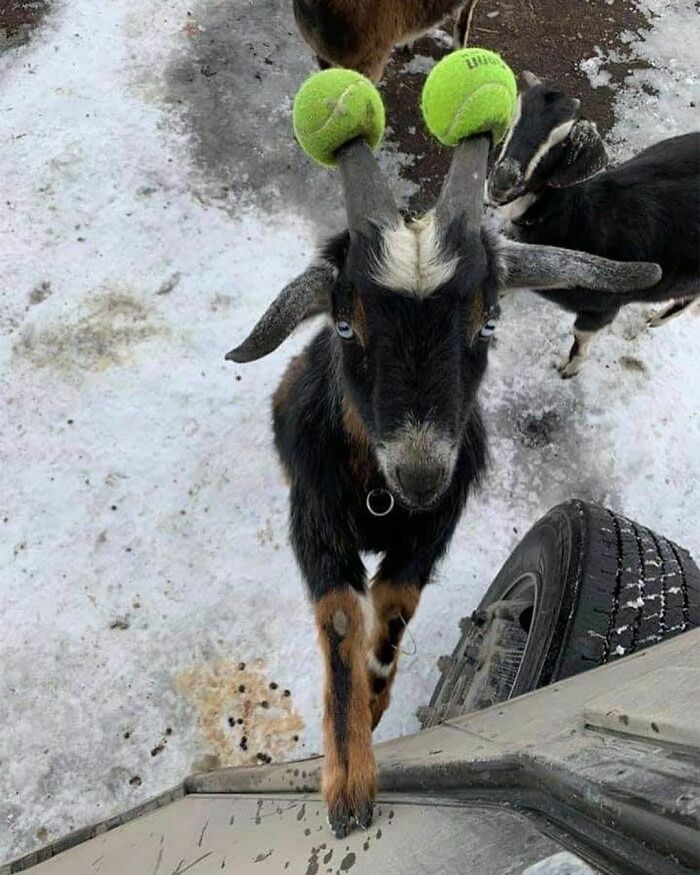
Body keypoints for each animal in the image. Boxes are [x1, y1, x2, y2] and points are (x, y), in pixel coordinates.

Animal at [226, 133, 660, 837]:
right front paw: (348, 788)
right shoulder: (316, 525)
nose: (423, 474)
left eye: (488, 322)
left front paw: (377, 701)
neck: (381, 502)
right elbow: (342, 622)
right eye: (345, 325)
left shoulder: (430, 534)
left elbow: (394, 613)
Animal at [488, 71, 700, 377]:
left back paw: (655, 320)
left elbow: (581, 335)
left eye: (564, 143)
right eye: (514, 118)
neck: (577, 216)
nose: (503, 181)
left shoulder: (604, 306)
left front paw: (568, 370)